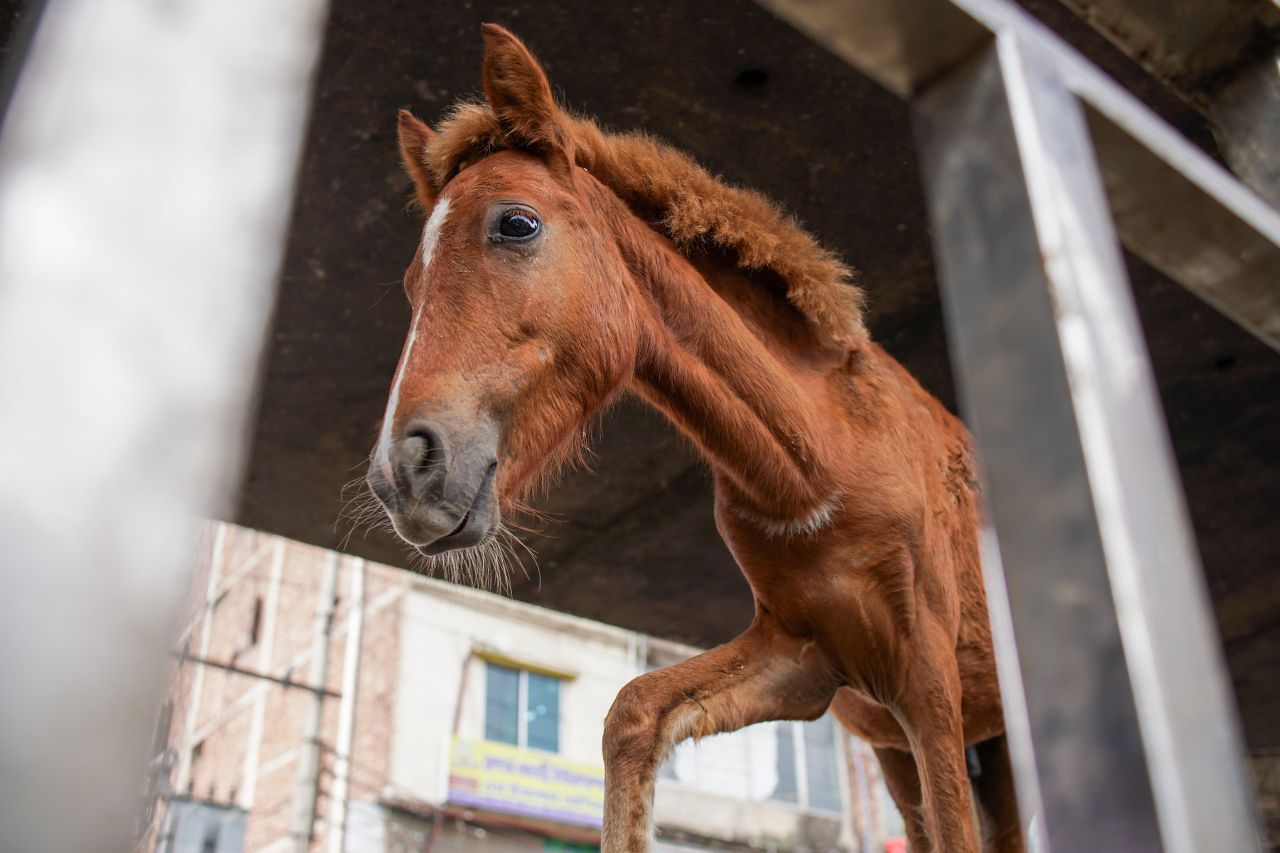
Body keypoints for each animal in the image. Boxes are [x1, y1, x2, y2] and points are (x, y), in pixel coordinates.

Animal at [365, 24, 1022, 852]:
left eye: (516, 223)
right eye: (411, 280)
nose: (403, 471)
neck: (820, 462)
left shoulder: (928, 685)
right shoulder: (808, 658)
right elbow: (632, 715)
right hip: (908, 744)